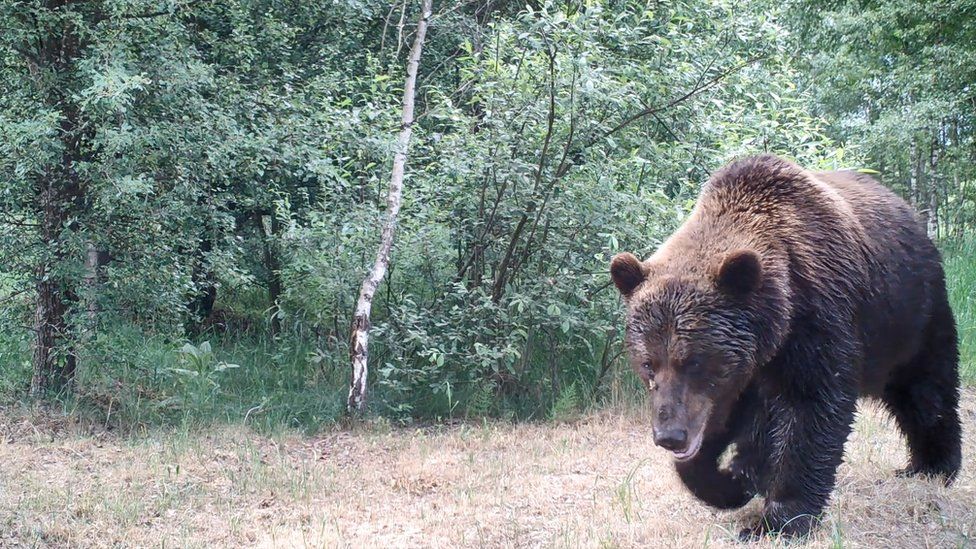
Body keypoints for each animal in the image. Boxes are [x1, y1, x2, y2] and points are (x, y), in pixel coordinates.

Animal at [608, 153, 960, 536]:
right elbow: (724, 425)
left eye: (695, 361)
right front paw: (727, 482)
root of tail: (911, 214)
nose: (670, 436)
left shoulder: (818, 324)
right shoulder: (743, 372)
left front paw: (777, 520)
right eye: (648, 363)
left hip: (910, 316)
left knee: (926, 390)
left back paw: (932, 466)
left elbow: (811, 411)